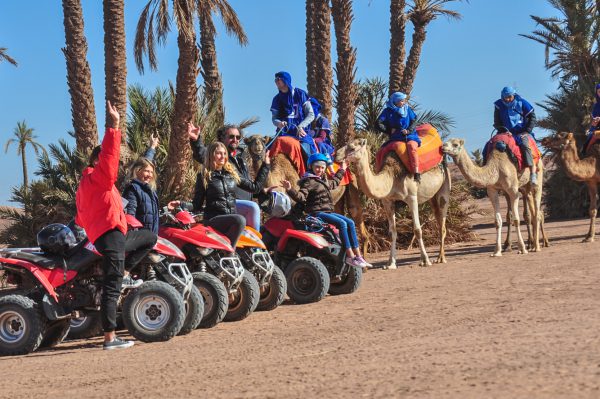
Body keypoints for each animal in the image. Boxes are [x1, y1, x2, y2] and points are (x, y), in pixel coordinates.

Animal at [332, 138, 450, 268]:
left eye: (352, 147)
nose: (336, 155)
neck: (392, 178)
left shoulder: (412, 198)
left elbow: (417, 230)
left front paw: (425, 260)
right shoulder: (387, 201)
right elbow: (392, 232)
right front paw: (390, 263)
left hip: (444, 187)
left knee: (443, 221)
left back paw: (441, 258)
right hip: (432, 197)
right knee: (438, 218)